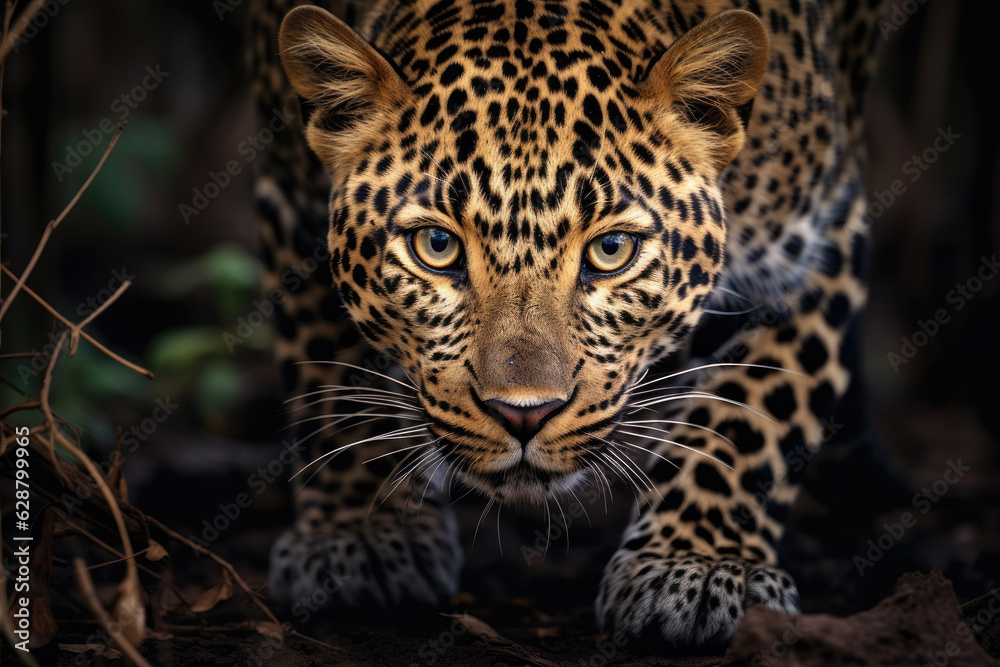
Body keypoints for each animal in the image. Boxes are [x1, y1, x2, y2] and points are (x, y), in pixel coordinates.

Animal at [247, 0, 884, 651]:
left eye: (611, 249)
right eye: (436, 247)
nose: (523, 414)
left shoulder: (820, 243)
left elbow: (752, 415)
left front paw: (698, 565)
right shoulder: (291, 198)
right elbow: (332, 379)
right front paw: (357, 534)